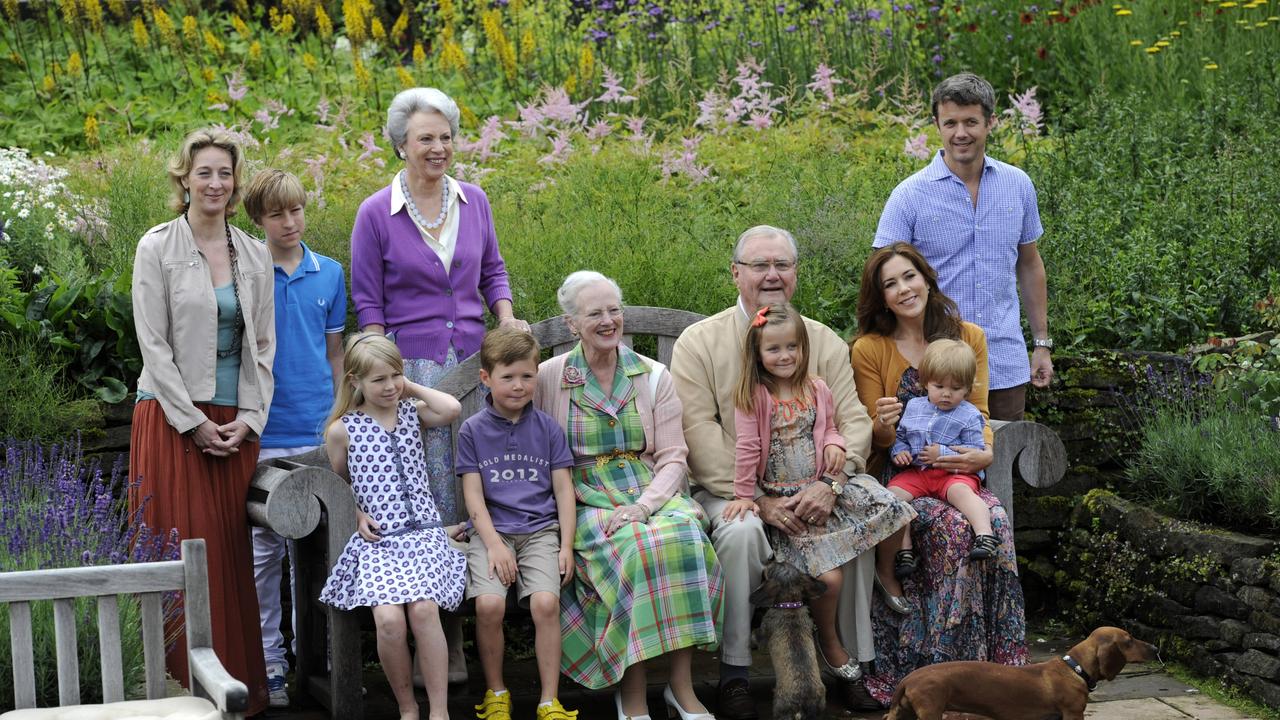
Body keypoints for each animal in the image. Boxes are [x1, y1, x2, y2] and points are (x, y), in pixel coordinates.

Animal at [885, 622, 1157, 717]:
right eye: (1129, 640)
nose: (1155, 647)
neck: (1074, 667)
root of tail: (907, 678)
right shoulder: (1072, 714)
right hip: (930, 711)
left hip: (903, 714)